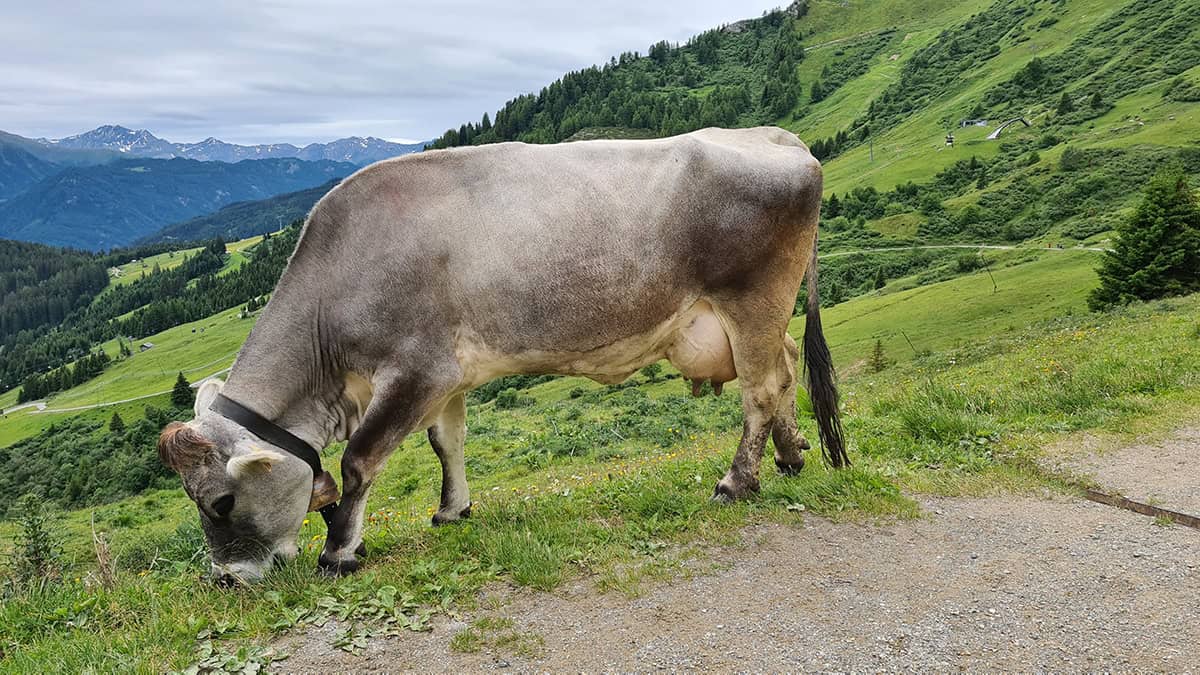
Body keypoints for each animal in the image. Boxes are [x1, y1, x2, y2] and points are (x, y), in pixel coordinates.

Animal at [159, 127, 849, 583]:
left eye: (220, 503)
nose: (226, 578)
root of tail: (776, 137)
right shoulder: (448, 376)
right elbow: (447, 443)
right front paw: (452, 510)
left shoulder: (416, 370)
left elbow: (358, 463)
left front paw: (340, 551)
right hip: (753, 318)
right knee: (785, 369)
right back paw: (790, 456)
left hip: (752, 299)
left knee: (762, 388)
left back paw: (737, 482)